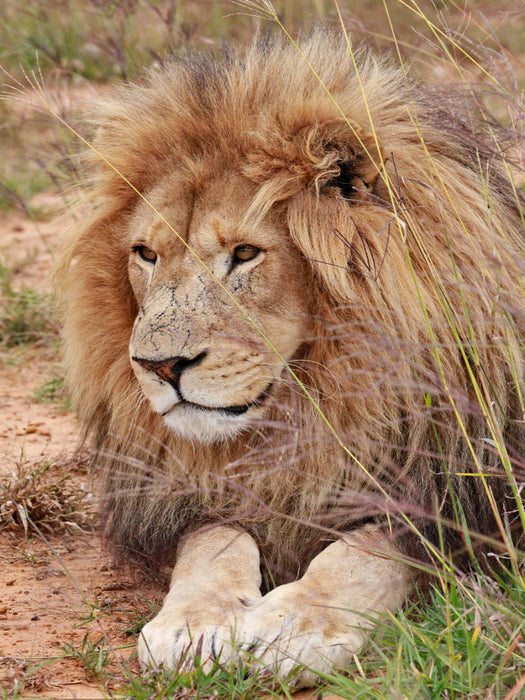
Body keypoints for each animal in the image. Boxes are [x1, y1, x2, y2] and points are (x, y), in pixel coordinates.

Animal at [56, 29, 525, 687]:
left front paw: (295, 625)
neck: (316, 398)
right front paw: (191, 624)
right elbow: (212, 543)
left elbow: (368, 553)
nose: (157, 367)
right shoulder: (199, 492)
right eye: (145, 253)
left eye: (245, 254)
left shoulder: (467, 500)